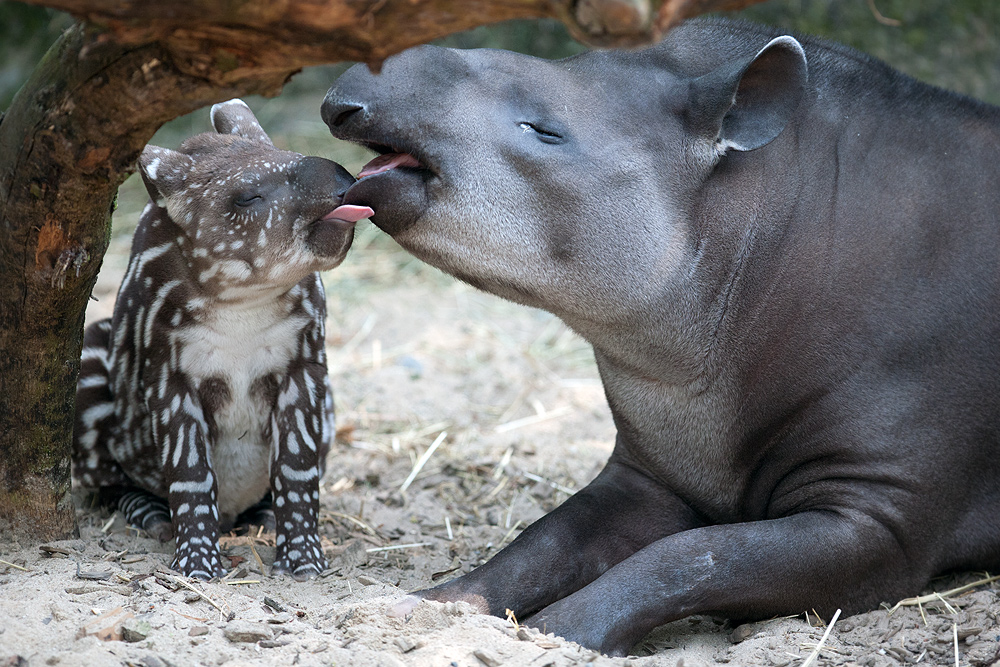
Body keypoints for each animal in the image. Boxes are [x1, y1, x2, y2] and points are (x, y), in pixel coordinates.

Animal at [322, 17, 1000, 656]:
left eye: (545, 129)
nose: (342, 98)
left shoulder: (885, 515)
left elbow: (694, 556)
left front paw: (556, 632)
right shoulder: (652, 472)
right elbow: (544, 541)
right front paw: (419, 608)